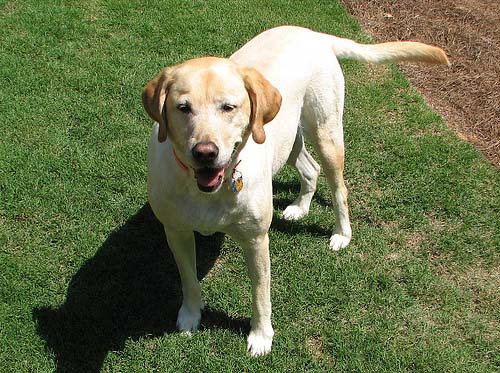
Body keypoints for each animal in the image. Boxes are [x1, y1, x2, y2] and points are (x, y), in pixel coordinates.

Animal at [142, 25, 450, 354]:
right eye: (183, 108)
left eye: (228, 107)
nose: (205, 153)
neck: (208, 191)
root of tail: (314, 33)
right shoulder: (176, 232)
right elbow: (188, 279)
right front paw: (190, 316)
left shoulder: (256, 240)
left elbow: (260, 292)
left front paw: (261, 336)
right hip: (288, 139)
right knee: (310, 169)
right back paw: (300, 208)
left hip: (326, 132)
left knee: (339, 188)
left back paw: (341, 234)